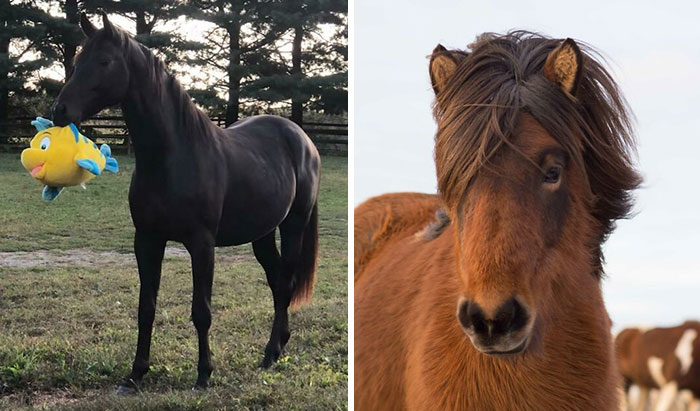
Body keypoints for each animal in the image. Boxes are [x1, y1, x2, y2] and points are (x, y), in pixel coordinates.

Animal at [51, 12, 321, 393]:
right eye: (77, 61)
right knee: (276, 282)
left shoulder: (201, 244)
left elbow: (201, 310)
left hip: (294, 224)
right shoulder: (147, 240)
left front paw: (204, 374)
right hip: (262, 234)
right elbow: (146, 307)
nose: (59, 110)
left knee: (286, 281)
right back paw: (277, 348)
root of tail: (301, 138)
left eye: (103, 61)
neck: (173, 155)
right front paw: (135, 374)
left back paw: (270, 354)